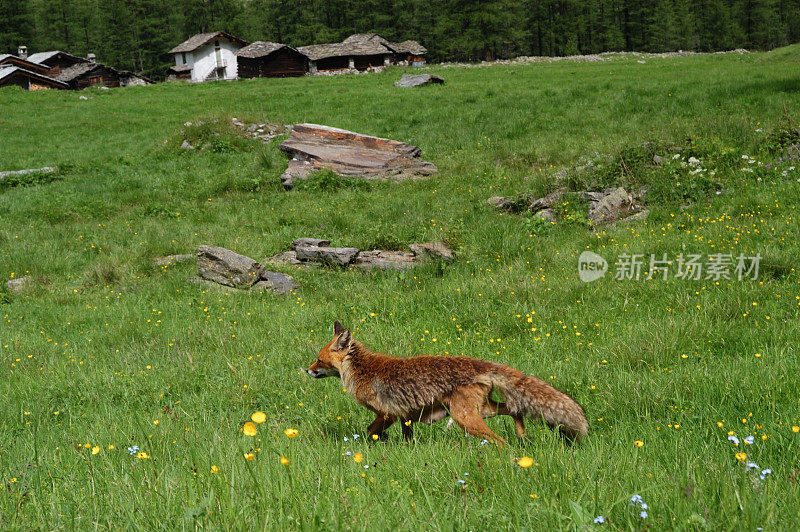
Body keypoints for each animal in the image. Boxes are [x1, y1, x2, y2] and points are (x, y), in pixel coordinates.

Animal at [306, 322, 588, 442]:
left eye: (318, 360)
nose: (307, 371)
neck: (362, 369)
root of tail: (479, 364)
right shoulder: (405, 416)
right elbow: (407, 438)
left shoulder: (387, 413)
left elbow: (370, 430)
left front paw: (378, 440)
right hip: (478, 411)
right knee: (514, 409)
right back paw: (522, 435)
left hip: (465, 418)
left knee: (500, 440)